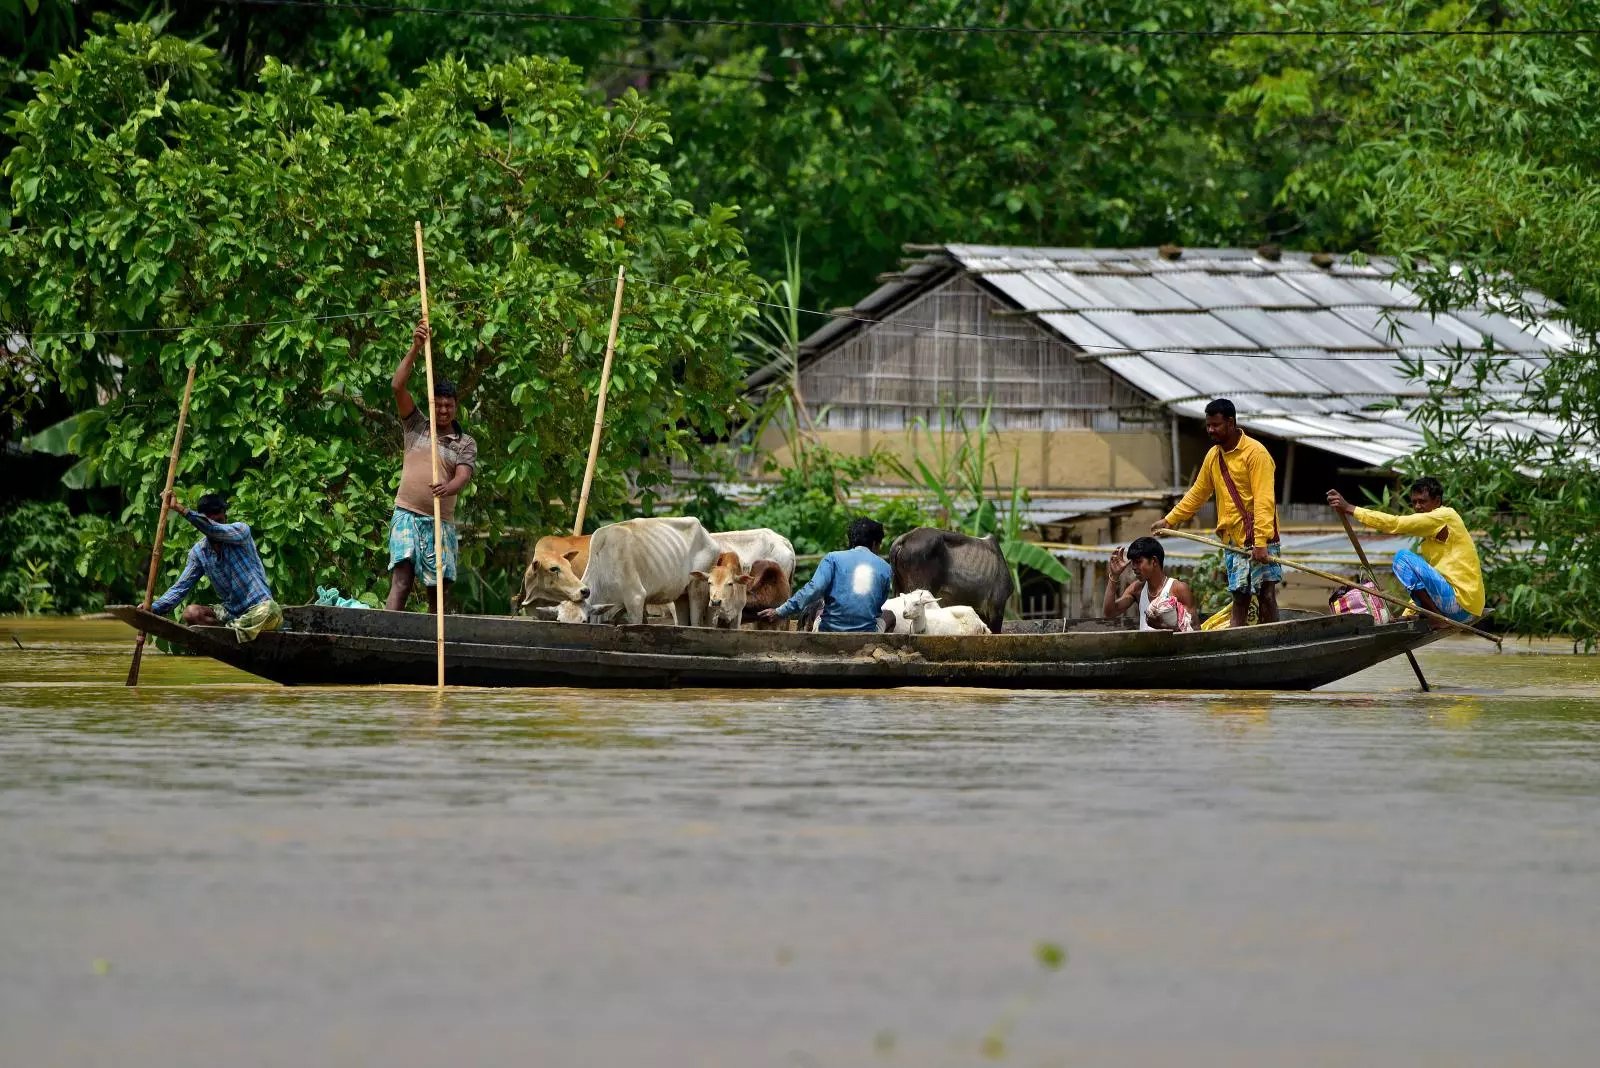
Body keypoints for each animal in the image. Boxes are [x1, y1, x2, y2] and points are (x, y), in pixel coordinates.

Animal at [560, 518, 716, 626]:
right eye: (559, 621)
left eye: (583, 621)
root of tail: (706, 533)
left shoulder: (636, 598)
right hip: (680, 594)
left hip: (697, 587)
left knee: (696, 622)